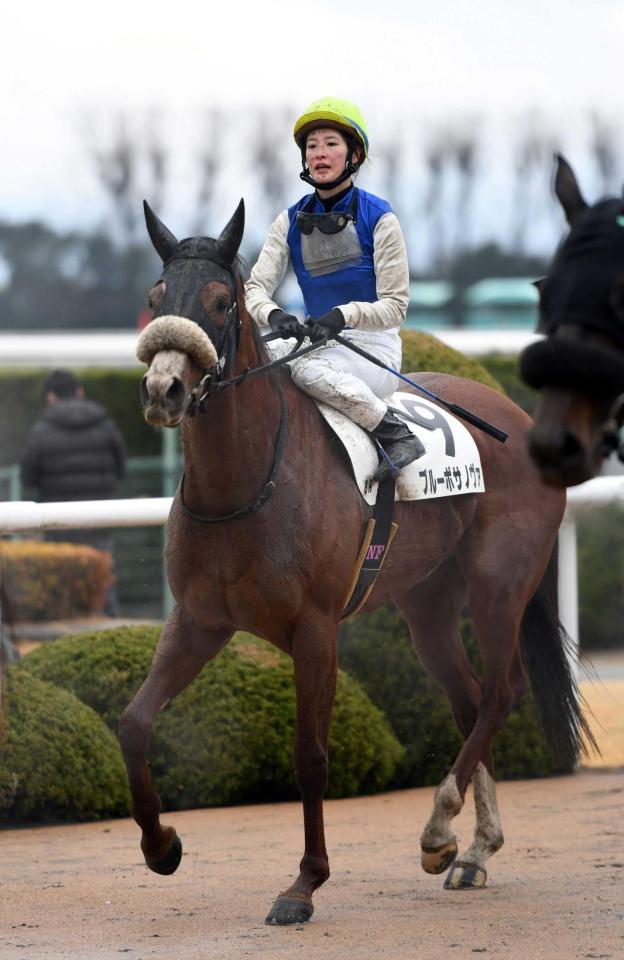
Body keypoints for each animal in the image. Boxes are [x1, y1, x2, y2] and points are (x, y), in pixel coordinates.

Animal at [119, 199, 592, 928]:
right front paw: (161, 844)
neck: (244, 482)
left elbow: (311, 756)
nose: (164, 388)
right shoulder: (199, 621)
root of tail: (509, 409)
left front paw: (303, 885)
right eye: (154, 299)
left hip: (499, 584)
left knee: (500, 692)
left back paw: (439, 828)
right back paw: (472, 849)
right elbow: (135, 724)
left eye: (222, 302)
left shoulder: (315, 631)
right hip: (428, 604)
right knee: (468, 699)